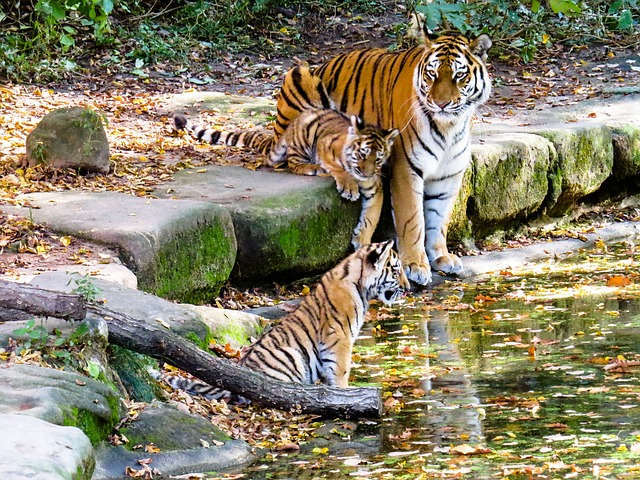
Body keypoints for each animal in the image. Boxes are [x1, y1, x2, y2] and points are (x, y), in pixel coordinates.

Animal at [161, 240, 409, 402]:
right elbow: (341, 370)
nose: (408, 289)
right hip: (291, 357)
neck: (361, 285)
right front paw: (345, 394)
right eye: (396, 271)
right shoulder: (339, 338)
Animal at [173, 98, 399, 248]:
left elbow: (371, 217)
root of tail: (291, 126)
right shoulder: (324, 146)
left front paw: (362, 240)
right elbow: (338, 168)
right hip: (304, 137)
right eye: (362, 154)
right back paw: (312, 168)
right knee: (293, 163)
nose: (366, 173)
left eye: (378, 159)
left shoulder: (375, 188)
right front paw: (348, 186)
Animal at [275, 32, 492, 285]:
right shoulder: (406, 168)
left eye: (459, 75)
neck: (450, 127)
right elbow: (412, 219)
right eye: (432, 74)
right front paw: (416, 264)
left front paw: (441, 256)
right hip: (299, 77)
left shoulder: (449, 175)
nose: (441, 104)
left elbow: (439, 217)